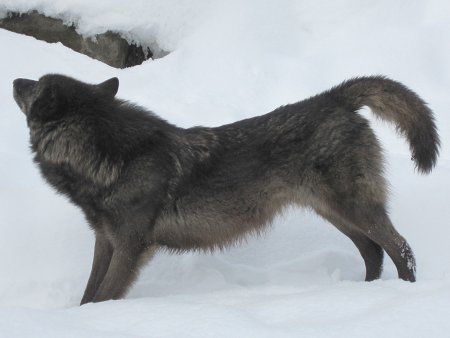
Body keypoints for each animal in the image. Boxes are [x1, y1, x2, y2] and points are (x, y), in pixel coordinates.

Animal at [13, 74, 440, 304]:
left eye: (35, 88)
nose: (15, 80)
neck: (113, 155)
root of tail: (334, 97)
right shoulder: (105, 240)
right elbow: (89, 294)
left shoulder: (132, 247)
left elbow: (104, 294)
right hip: (335, 212)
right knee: (373, 251)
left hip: (353, 208)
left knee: (400, 247)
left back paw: (403, 292)